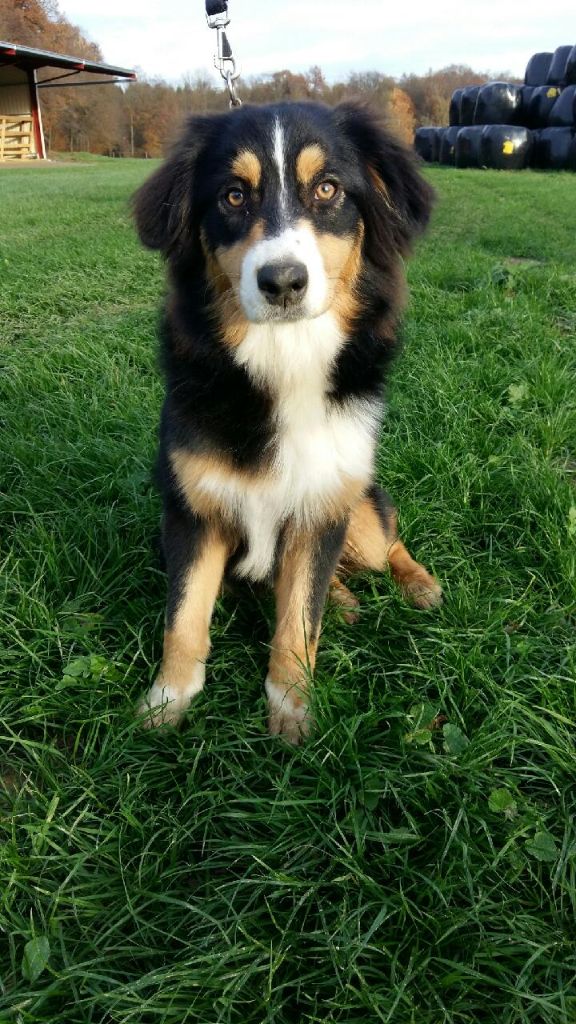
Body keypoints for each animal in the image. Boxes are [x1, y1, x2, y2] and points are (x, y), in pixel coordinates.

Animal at [133, 100, 441, 743]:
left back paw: (418, 583)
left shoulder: (321, 506)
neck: (285, 357)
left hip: (359, 507)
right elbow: (184, 618)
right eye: (232, 196)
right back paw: (347, 599)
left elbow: (299, 620)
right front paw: (165, 705)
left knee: (386, 538)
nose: (282, 282)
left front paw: (292, 711)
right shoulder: (191, 511)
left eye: (327, 188)